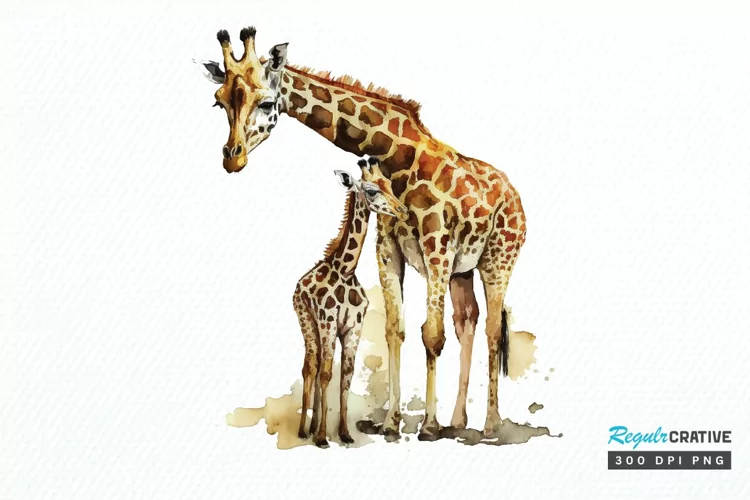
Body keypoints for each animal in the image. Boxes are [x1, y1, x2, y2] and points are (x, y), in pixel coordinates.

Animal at [294, 156, 408, 448]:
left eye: (389, 184)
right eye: (371, 190)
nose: (402, 211)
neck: (345, 270)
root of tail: (299, 286)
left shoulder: (354, 326)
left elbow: (346, 375)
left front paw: (343, 433)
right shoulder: (328, 321)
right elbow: (326, 373)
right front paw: (322, 437)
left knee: (317, 367)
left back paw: (313, 426)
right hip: (308, 323)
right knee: (310, 367)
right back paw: (304, 430)